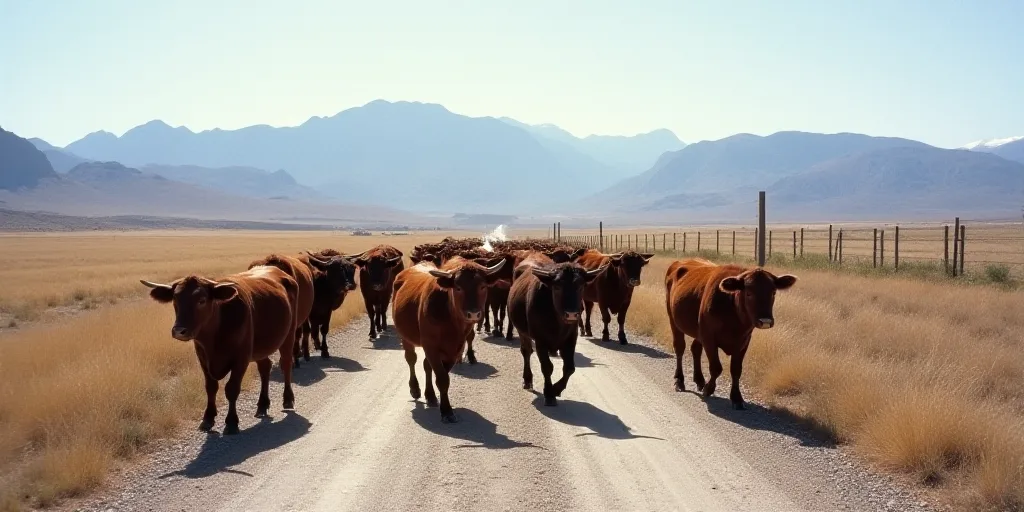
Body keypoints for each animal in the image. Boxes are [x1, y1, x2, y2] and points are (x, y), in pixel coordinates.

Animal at [140, 266, 299, 435]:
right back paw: (262, 405)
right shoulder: (203, 357)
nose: (179, 331)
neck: (215, 335)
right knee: (265, 367)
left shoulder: (241, 359)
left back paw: (288, 399)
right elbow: (211, 387)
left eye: (202, 300)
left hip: (289, 336)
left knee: (286, 364)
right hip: (262, 348)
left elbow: (232, 389)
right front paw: (208, 418)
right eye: (175, 299)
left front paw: (231, 422)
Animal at [391, 255, 507, 423]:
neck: (452, 323)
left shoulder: (454, 349)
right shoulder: (431, 346)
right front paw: (446, 411)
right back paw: (415, 388)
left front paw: (440, 404)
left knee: (426, 365)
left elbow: (441, 376)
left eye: (482, 286)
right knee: (411, 359)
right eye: (458, 288)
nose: (473, 313)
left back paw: (430, 396)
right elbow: (442, 378)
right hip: (406, 338)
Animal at [507, 252, 605, 406]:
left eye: (581, 285)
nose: (571, 314)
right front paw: (549, 393)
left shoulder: (570, 339)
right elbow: (547, 367)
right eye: (557, 286)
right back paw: (527, 380)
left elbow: (570, 368)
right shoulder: (541, 341)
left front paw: (556, 389)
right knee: (526, 352)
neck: (557, 323)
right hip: (523, 333)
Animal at [664, 258, 797, 410]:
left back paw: (699, 380)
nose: (765, 321)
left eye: (773, 292)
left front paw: (736, 397)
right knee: (680, 348)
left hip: (698, 331)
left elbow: (736, 370)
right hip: (673, 320)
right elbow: (716, 367)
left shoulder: (743, 341)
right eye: (749, 293)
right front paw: (709, 389)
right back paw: (679, 381)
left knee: (695, 349)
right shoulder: (709, 338)